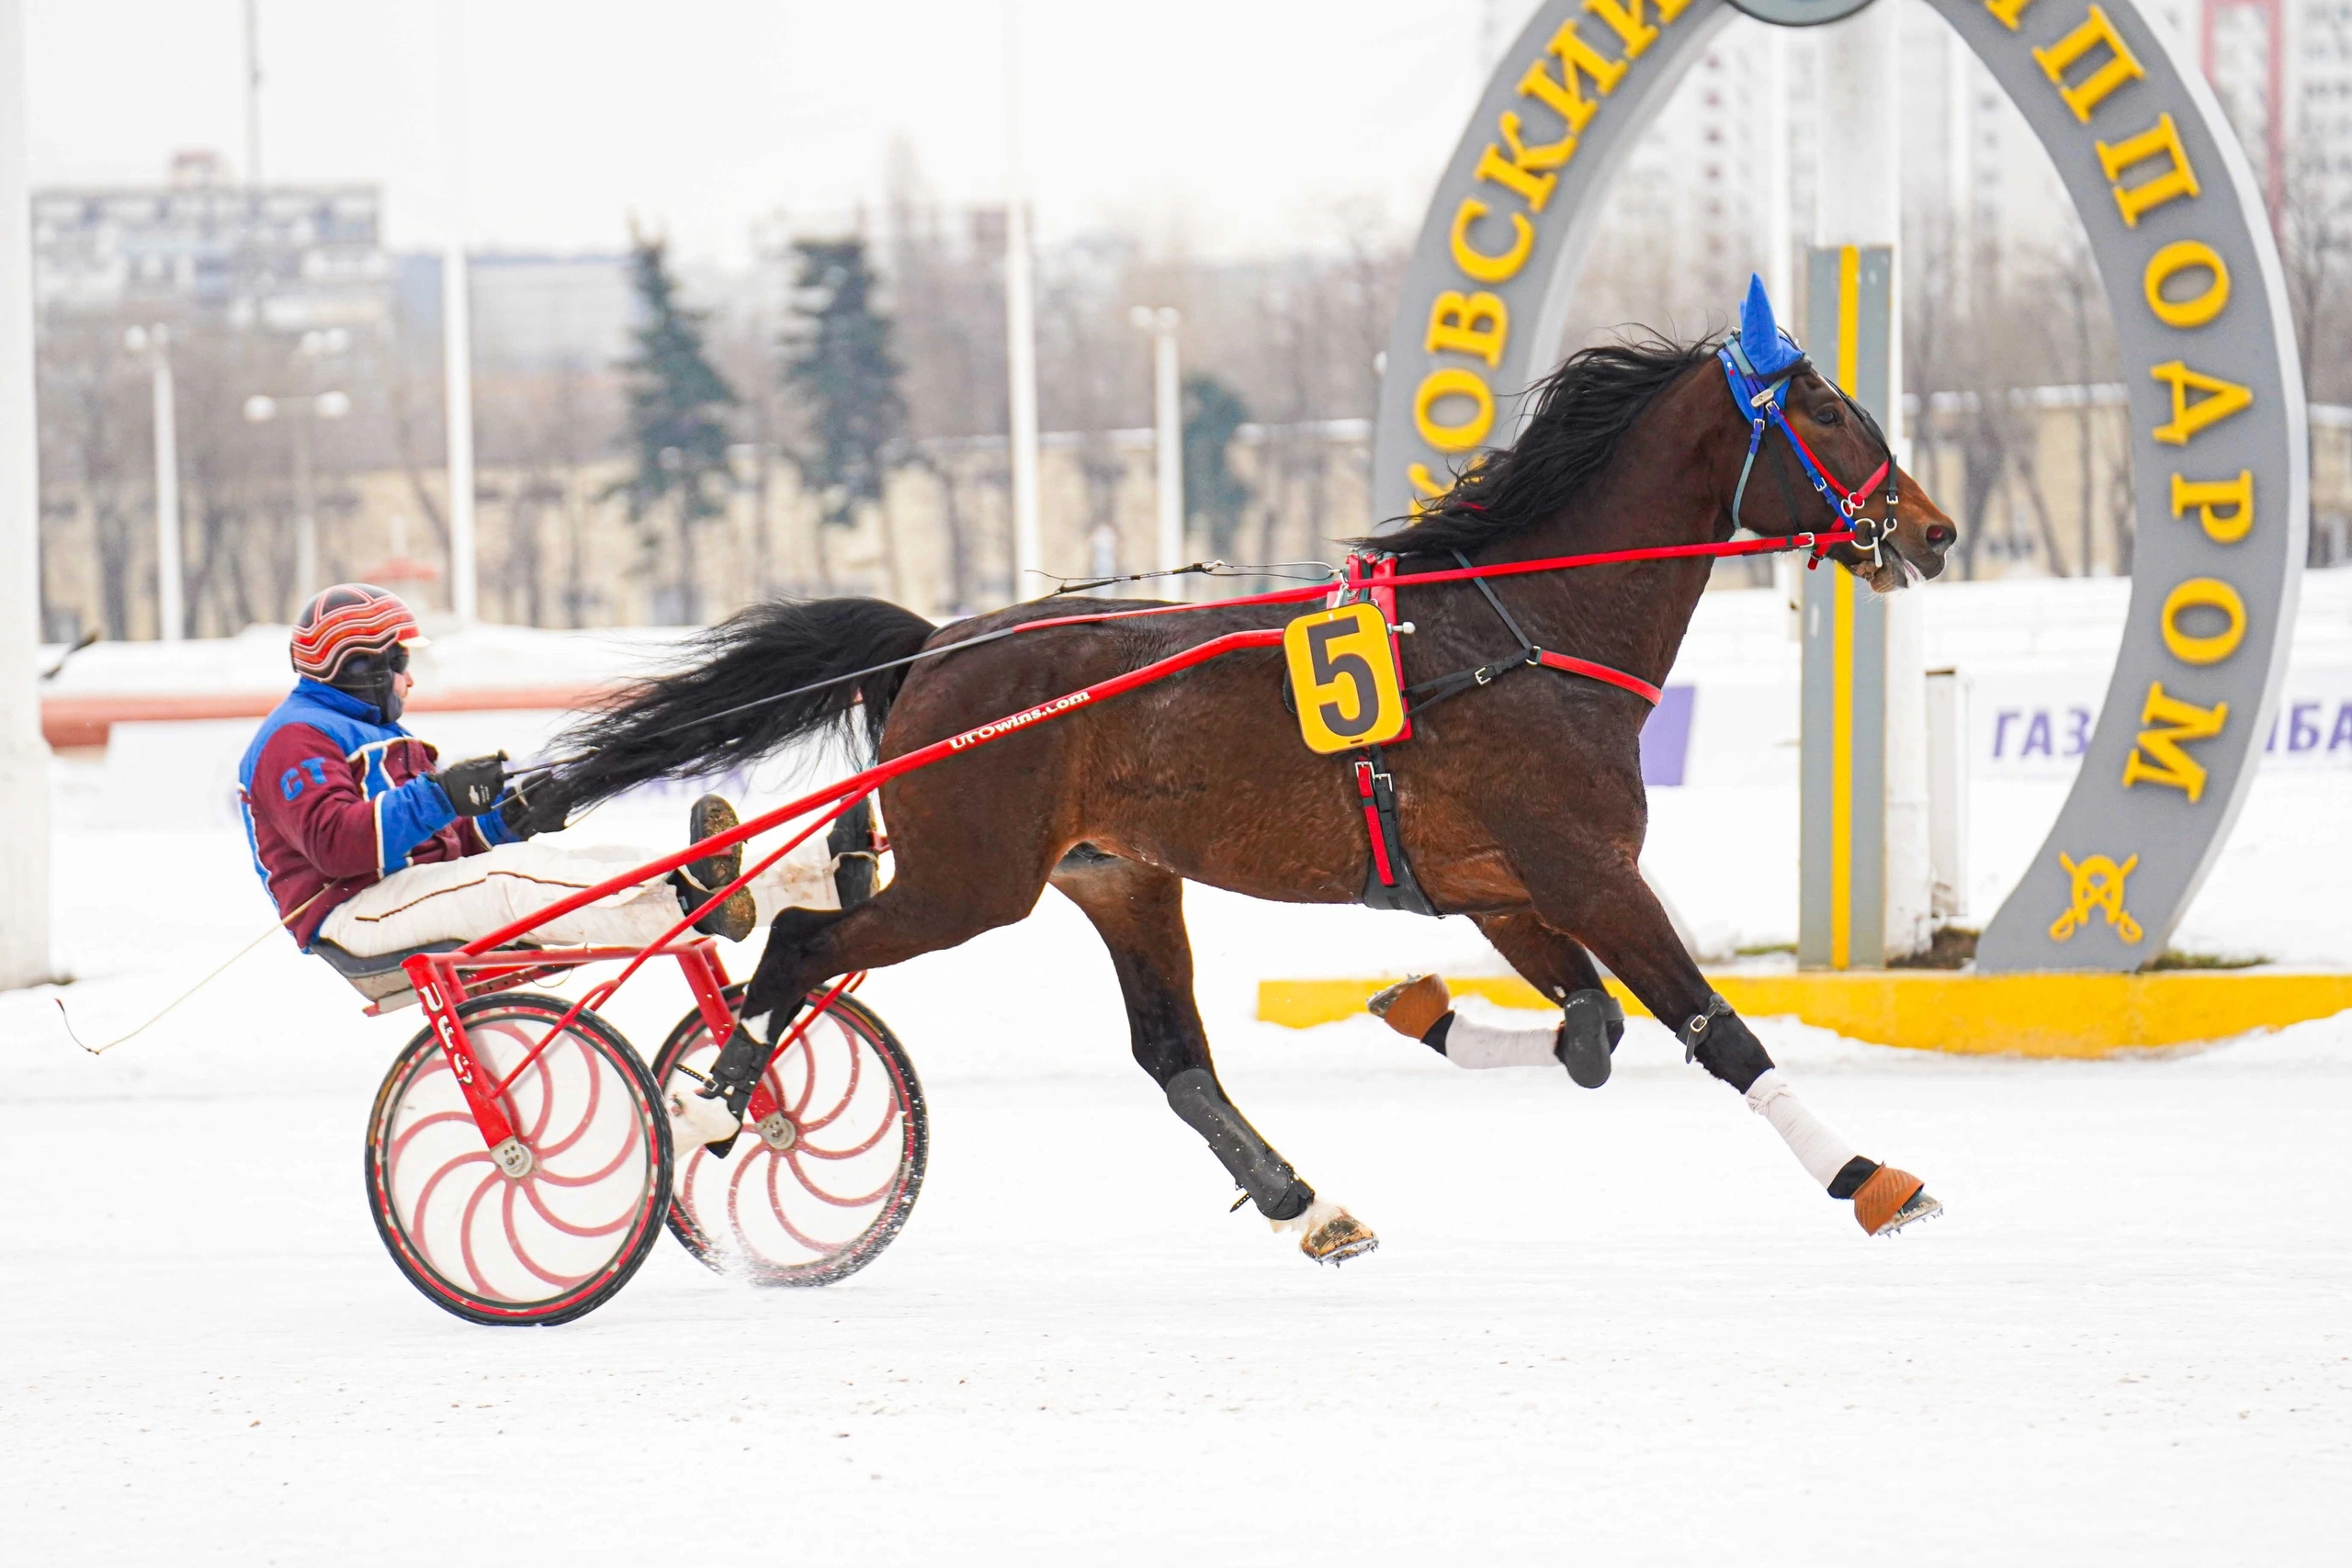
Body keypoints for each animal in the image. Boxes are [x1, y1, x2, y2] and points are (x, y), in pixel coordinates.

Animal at [540, 285, 1956, 1259]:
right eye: (1830, 410)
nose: (1934, 531)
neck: (1521, 629)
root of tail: (938, 646)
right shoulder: (1587, 871)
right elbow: (1708, 1026)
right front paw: (1870, 1177)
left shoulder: (1507, 887)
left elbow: (1593, 1029)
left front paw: (1431, 1012)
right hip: (967, 882)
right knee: (798, 941)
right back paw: (717, 1105)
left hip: (1119, 878)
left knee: (1171, 1053)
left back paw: (1303, 1197)